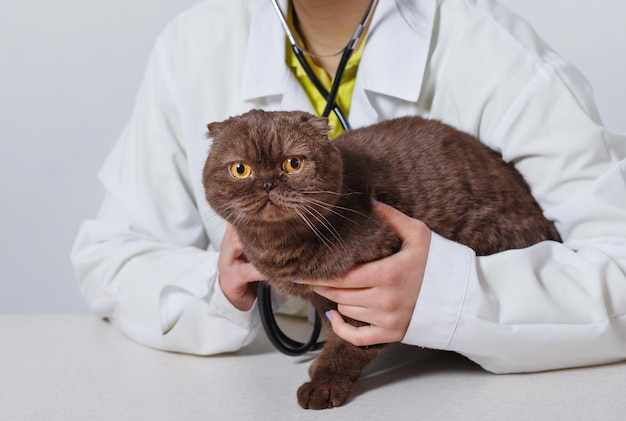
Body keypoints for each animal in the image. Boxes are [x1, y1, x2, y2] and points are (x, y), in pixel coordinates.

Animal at [201, 109, 560, 410]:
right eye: (240, 169)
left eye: (293, 163)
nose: (267, 184)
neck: (281, 247)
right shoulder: (320, 297)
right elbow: (333, 326)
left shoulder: (372, 274)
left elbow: (348, 340)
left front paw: (324, 383)